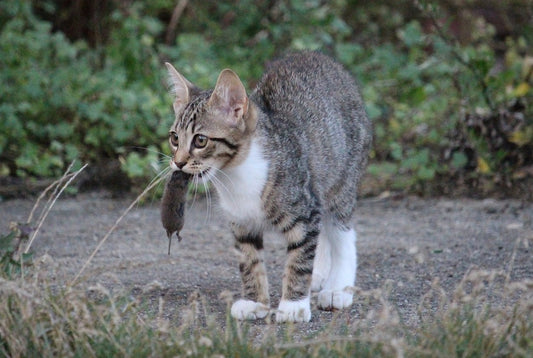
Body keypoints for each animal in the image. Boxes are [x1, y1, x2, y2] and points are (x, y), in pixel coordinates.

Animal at [165, 51, 370, 324]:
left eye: (200, 140)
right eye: (175, 138)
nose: (178, 162)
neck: (235, 173)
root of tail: (318, 55)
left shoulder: (305, 210)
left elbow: (299, 260)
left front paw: (294, 305)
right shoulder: (242, 222)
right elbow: (249, 260)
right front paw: (255, 302)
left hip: (341, 180)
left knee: (342, 232)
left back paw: (338, 288)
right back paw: (319, 275)